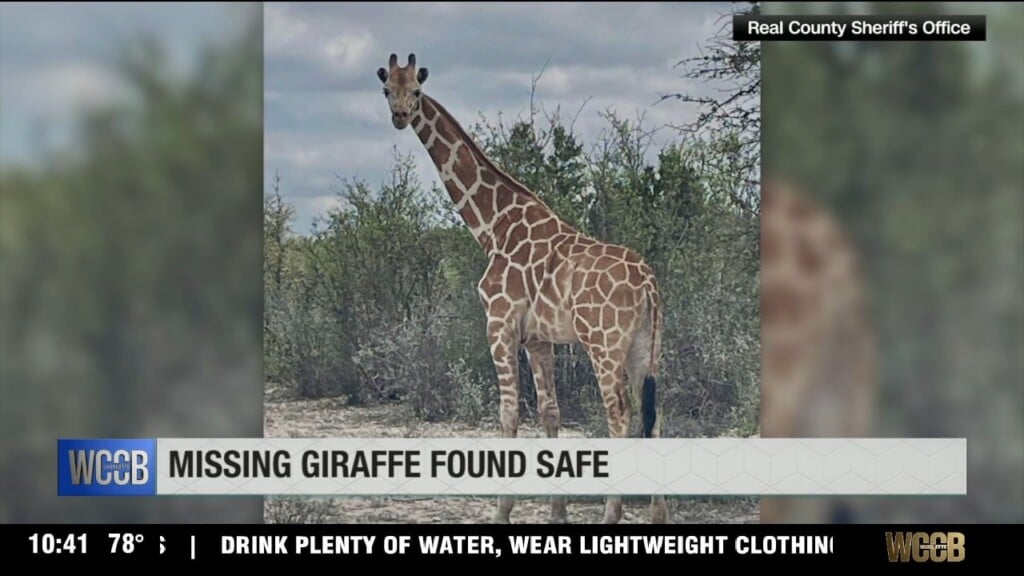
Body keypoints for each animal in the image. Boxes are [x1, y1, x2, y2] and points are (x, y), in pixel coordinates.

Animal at [377, 53, 669, 524]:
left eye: (416, 92)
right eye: (388, 90)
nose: (400, 116)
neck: (493, 227)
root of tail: (648, 282)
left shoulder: (499, 324)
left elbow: (509, 412)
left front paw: (502, 511)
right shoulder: (538, 339)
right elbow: (550, 414)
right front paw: (557, 514)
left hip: (604, 343)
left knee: (619, 413)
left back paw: (611, 516)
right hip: (647, 344)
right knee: (653, 414)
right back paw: (657, 516)